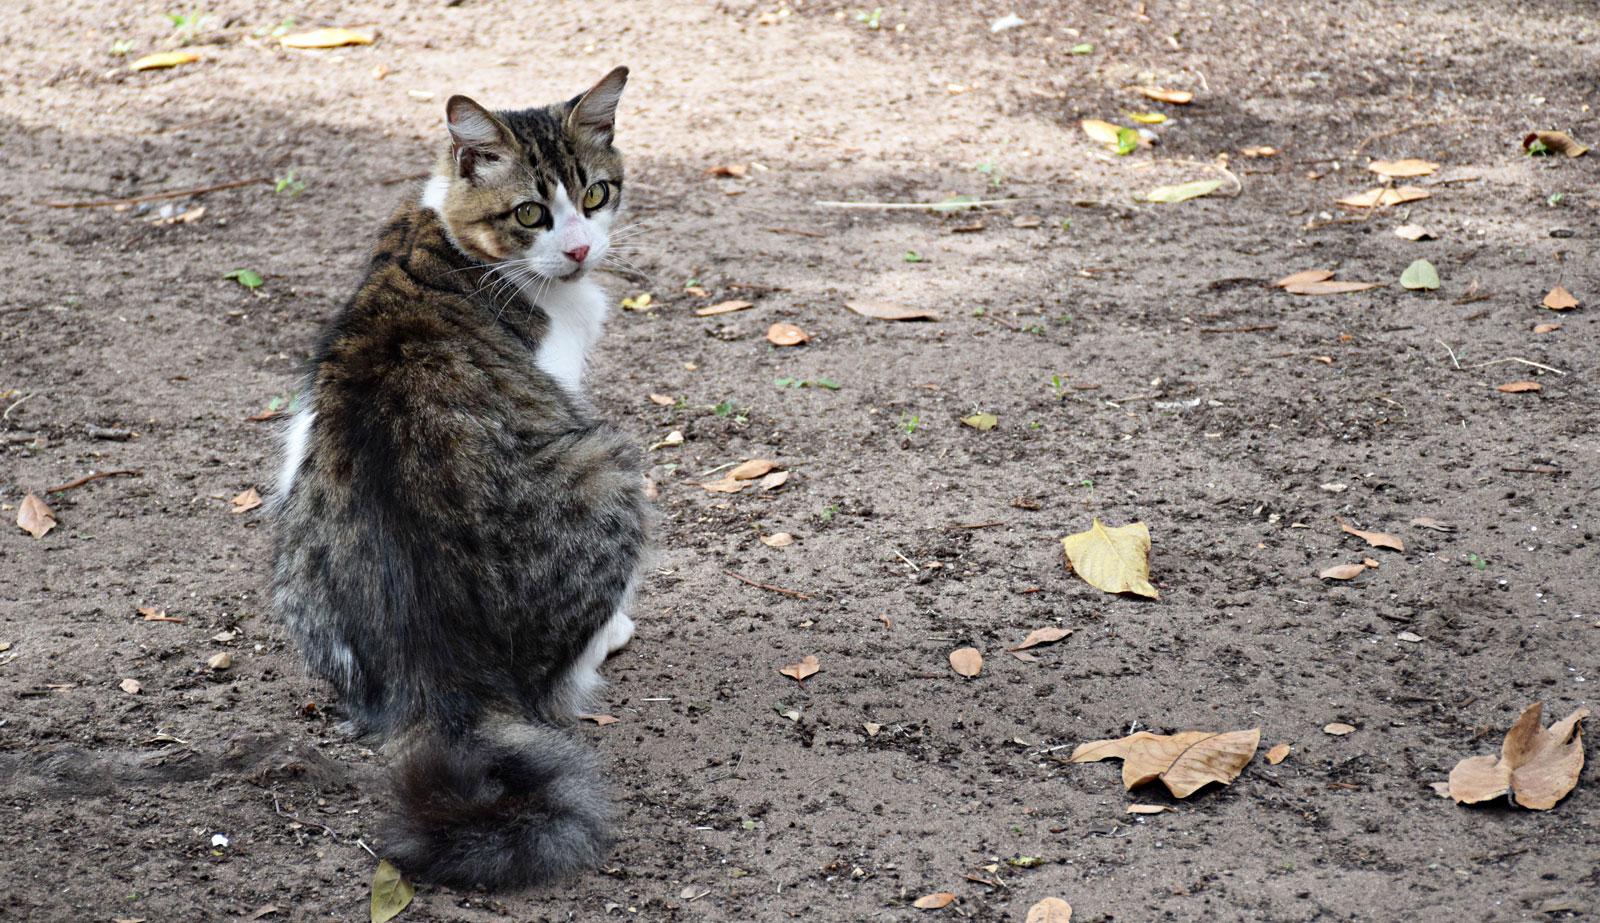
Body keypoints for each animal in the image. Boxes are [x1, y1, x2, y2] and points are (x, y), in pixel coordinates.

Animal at [272, 68, 646, 889]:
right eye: (531, 213)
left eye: (595, 193)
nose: (579, 248)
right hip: (609, 465)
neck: (448, 234)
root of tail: (440, 671)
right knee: (551, 689)